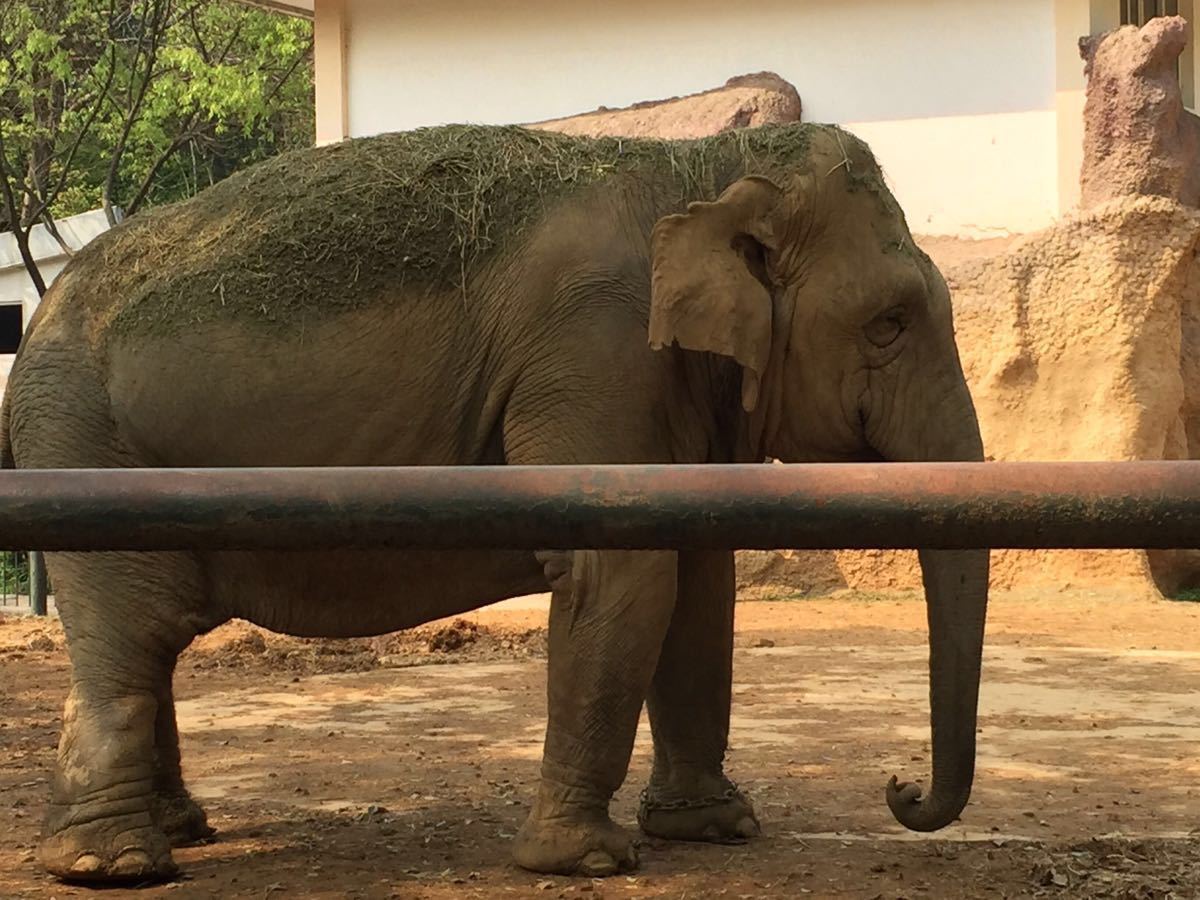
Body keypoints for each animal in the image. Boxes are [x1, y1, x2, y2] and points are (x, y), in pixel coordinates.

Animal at [2, 125, 993, 888]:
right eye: (890, 323)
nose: (901, 790)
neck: (699, 168)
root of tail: (41, 313)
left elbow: (700, 585)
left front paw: (715, 829)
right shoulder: (593, 347)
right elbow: (624, 576)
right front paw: (588, 862)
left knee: (149, 637)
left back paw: (179, 830)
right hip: (82, 439)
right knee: (134, 625)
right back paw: (112, 867)